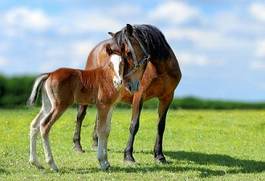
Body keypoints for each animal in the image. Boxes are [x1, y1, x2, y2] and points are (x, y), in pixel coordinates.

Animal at [26, 42, 144, 171]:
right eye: (110, 64)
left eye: (122, 63)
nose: (118, 81)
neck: (107, 77)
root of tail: (50, 74)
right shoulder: (102, 106)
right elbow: (101, 130)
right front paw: (102, 162)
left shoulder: (110, 106)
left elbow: (107, 130)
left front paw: (107, 162)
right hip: (59, 106)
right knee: (44, 125)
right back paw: (52, 164)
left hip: (47, 106)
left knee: (34, 125)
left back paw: (35, 162)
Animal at [72, 23, 182, 163]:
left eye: (128, 53)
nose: (125, 83)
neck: (160, 70)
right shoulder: (139, 96)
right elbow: (134, 125)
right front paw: (128, 155)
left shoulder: (167, 97)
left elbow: (160, 126)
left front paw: (159, 155)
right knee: (80, 115)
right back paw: (78, 146)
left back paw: (96, 143)